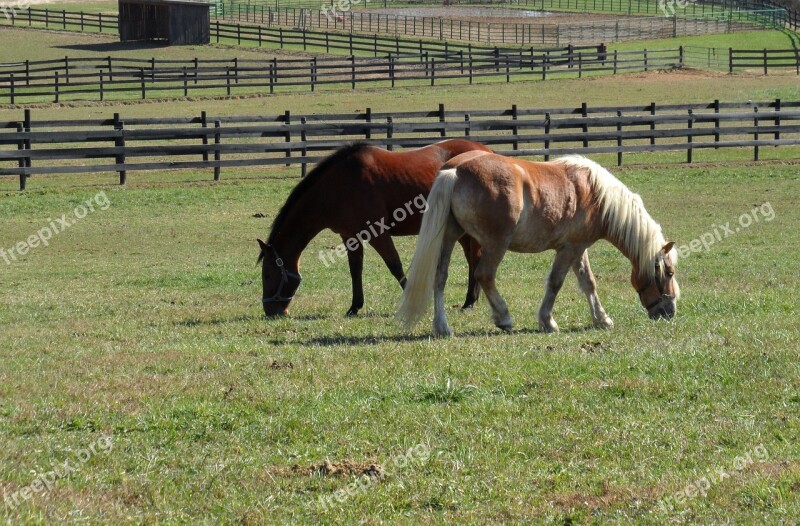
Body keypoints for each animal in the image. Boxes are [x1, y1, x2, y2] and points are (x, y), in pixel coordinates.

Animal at [256, 139, 494, 318]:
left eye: (267, 275)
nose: (270, 311)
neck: (338, 186)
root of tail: (486, 150)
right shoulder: (350, 236)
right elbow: (355, 270)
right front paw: (354, 307)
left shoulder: (378, 234)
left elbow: (394, 265)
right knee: (472, 258)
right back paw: (470, 300)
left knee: (475, 258)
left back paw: (470, 302)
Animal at [396, 153, 680, 338]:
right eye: (669, 272)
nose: (669, 312)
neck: (595, 194)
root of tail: (455, 170)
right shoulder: (569, 250)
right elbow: (555, 283)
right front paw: (547, 321)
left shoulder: (578, 249)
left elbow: (588, 283)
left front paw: (602, 318)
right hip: (495, 244)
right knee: (484, 275)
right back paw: (504, 317)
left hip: (449, 237)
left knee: (440, 278)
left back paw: (443, 327)